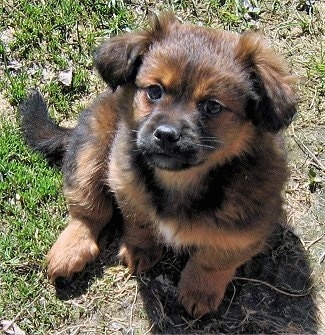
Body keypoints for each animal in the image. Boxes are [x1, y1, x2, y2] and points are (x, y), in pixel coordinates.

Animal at [20, 12, 296, 318]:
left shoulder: (246, 227)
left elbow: (213, 259)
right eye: (154, 91)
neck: (180, 180)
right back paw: (70, 249)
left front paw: (200, 290)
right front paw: (140, 248)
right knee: (88, 208)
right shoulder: (125, 184)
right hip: (92, 146)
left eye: (212, 106)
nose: (165, 134)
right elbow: (138, 221)